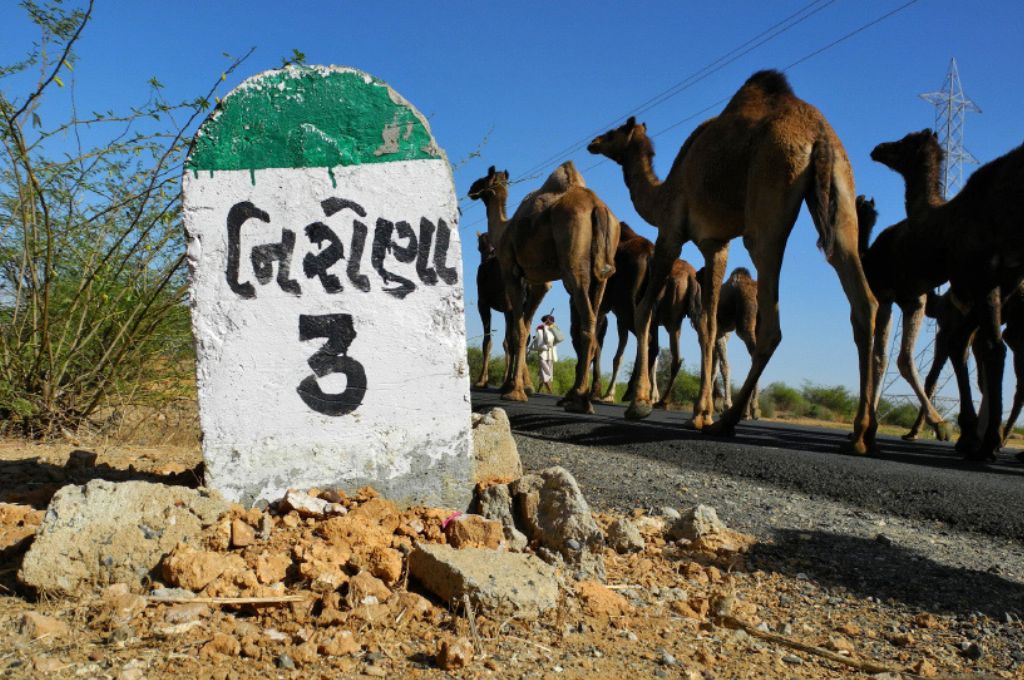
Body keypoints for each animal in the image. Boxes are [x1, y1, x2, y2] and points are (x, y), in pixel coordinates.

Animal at [468, 163, 618, 413]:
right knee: (594, 321)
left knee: (586, 322)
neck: (503, 230)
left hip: (573, 266)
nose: (471, 189)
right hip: (603, 273)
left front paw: (514, 392)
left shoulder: (511, 272)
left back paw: (580, 399)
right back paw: (575, 396)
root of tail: (598, 207)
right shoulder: (541, 282)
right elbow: (526, 327)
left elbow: (516, 332)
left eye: (482, 179)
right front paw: (517, 386)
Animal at [585, 70, 880, 450]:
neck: (662, 191)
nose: (593, 141)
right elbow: (709, 327)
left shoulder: (671, 232)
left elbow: (644, 310)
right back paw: (861, 433)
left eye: (617, 131)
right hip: (842, 197)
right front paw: (699, 413)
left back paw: (729, 421)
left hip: (768, 197)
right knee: (864, 303)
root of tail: (819, 136)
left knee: (771, 326)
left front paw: (640, 403)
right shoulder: (716, 245)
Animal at [868, 130, 1024, 458]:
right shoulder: (989, 286)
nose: (877, 148)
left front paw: (967, 433)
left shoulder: (977, 281)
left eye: (904, 143)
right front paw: (969, 433)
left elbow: (975, 350)